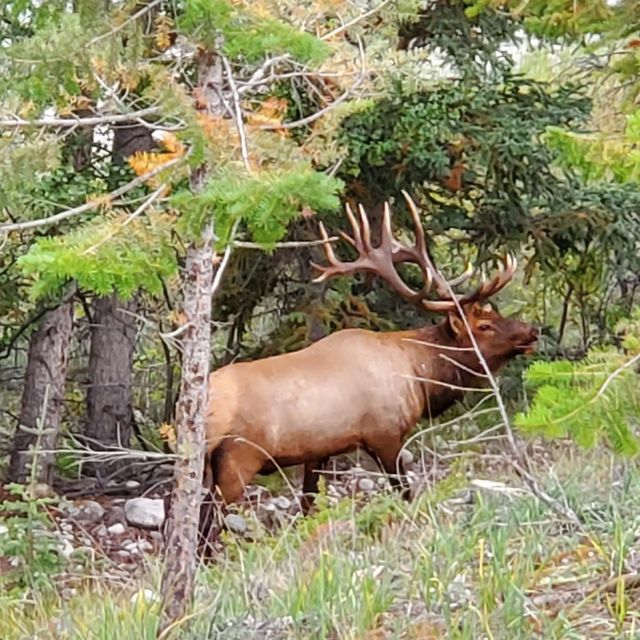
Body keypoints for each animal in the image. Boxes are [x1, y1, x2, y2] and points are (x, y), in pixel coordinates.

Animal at [202, 191, 536, 516]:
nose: (533, 331)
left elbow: (309, 504)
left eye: (494, 313)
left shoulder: (319, 450)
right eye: (484, 325)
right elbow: (404, 492)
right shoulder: (384, 434)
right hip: (239, 456)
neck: (419, 376)